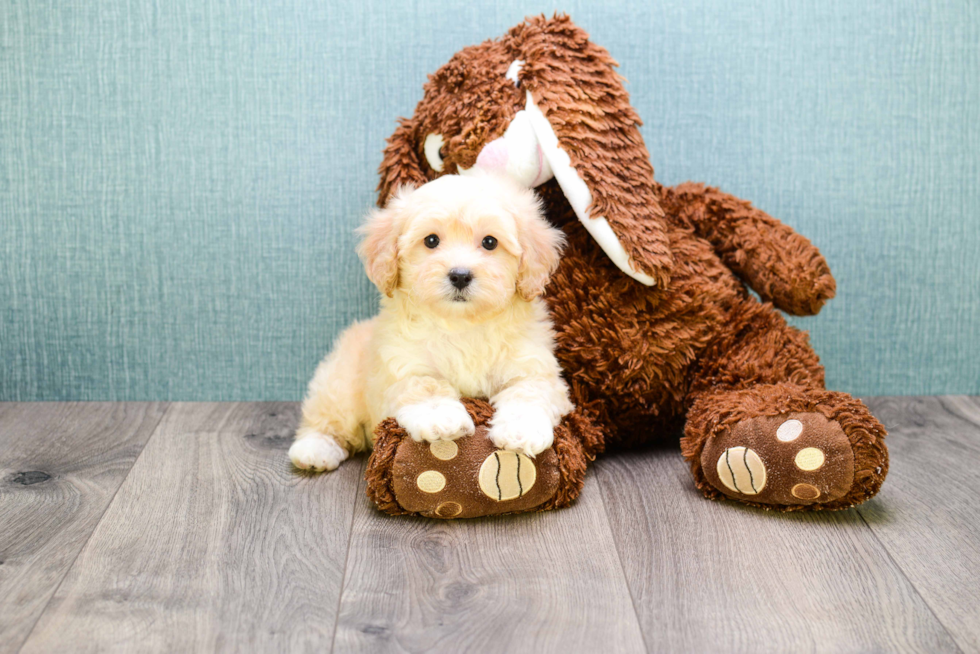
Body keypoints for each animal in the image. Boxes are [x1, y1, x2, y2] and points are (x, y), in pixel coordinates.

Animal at [288, 172, 572, 474]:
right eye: (431, 240)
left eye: (490, 242)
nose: (460, 275)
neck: (461, 324)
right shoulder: (403, 363)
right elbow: (426, 386)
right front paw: (441, 418)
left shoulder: (532, 365)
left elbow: (530, 392)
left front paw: (522, 431)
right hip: (340, 382)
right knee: (326, 418)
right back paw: (315, 449)